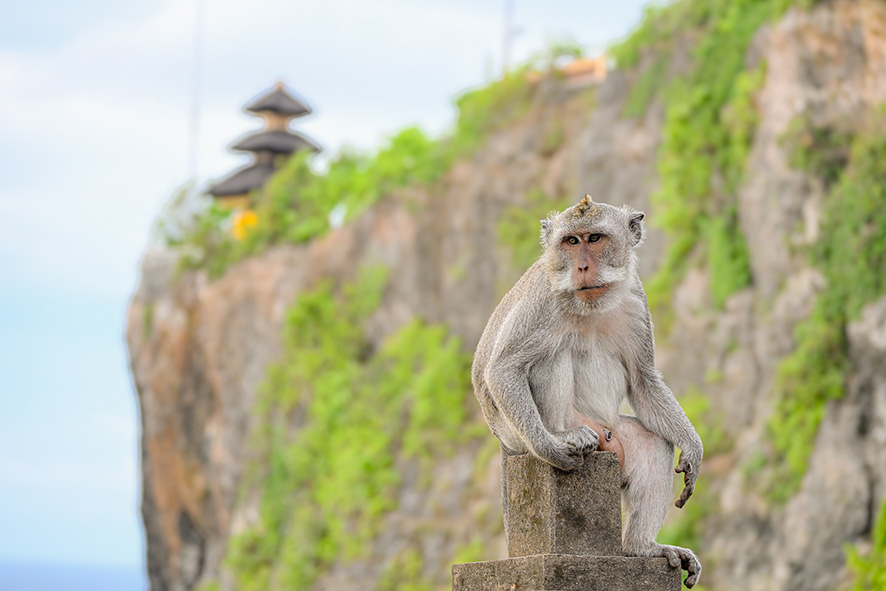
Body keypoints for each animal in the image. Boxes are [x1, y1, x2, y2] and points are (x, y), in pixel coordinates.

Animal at [476, 194, 704, 588]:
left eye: (595, 238)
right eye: (571, 241)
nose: (582, 266)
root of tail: (502, 440)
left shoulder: (635, 298)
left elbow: (643, 379)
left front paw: (692, 447)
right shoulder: (544, 300)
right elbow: (503, 368)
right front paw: (550, 447)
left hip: (613, 436)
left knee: (652, 443)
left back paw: (643, 548)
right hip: (523, 433)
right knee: (549, 356)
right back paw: (562, 434)